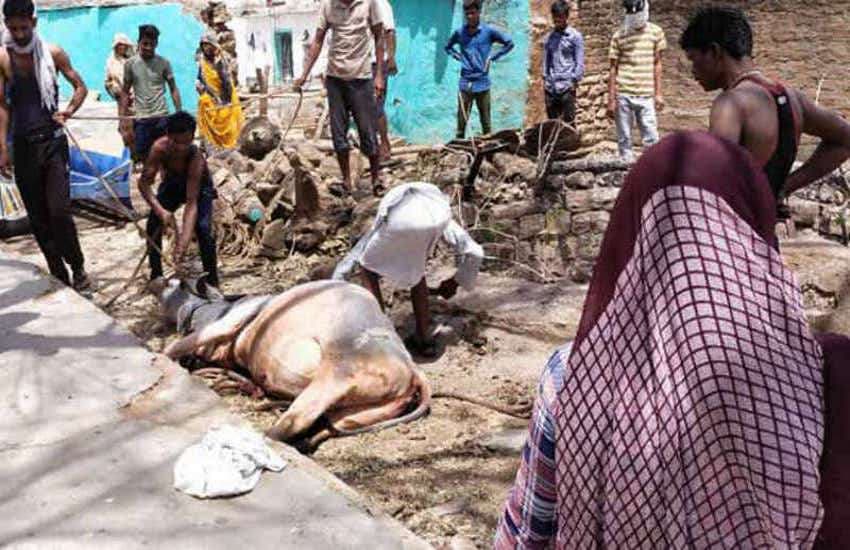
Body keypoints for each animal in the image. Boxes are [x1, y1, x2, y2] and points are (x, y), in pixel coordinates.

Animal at [152, 278, 524, 450]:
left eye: (176, 282)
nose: (154, 280)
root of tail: (413, 368)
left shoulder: (231, 320)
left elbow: (182, 343)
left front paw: (166, 354)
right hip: (360, 410)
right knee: (325, 425)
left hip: (336, 374)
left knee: (294, 422)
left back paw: (269, 433)